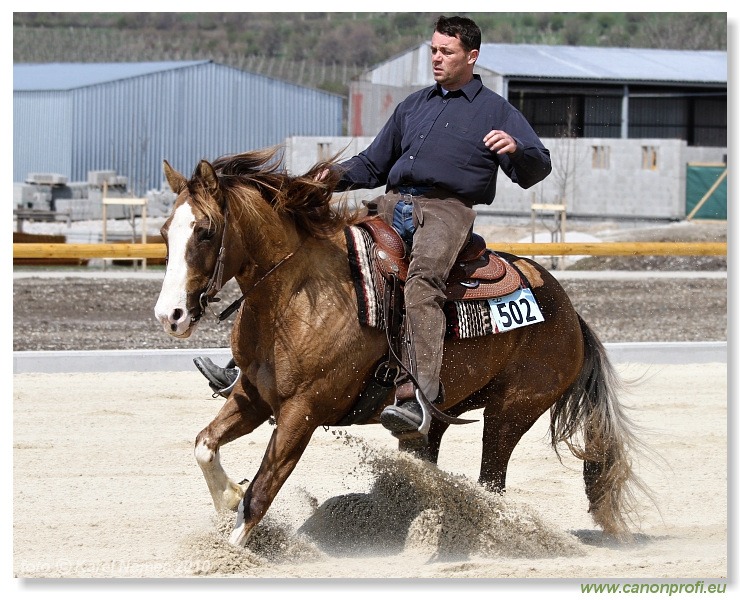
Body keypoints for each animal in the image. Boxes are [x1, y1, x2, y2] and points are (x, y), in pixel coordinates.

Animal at [155, 148, 648, 548]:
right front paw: (227, 496)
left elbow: (260, 495)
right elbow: (204, 445)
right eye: (164, 232)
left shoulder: (302, 413)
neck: (299, 296)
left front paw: (231, 549)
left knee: (491, 482)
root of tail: (569, 313)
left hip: (511, 413)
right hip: (436, 421)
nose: (169, 314)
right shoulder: (252, 396)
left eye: (205, 230)